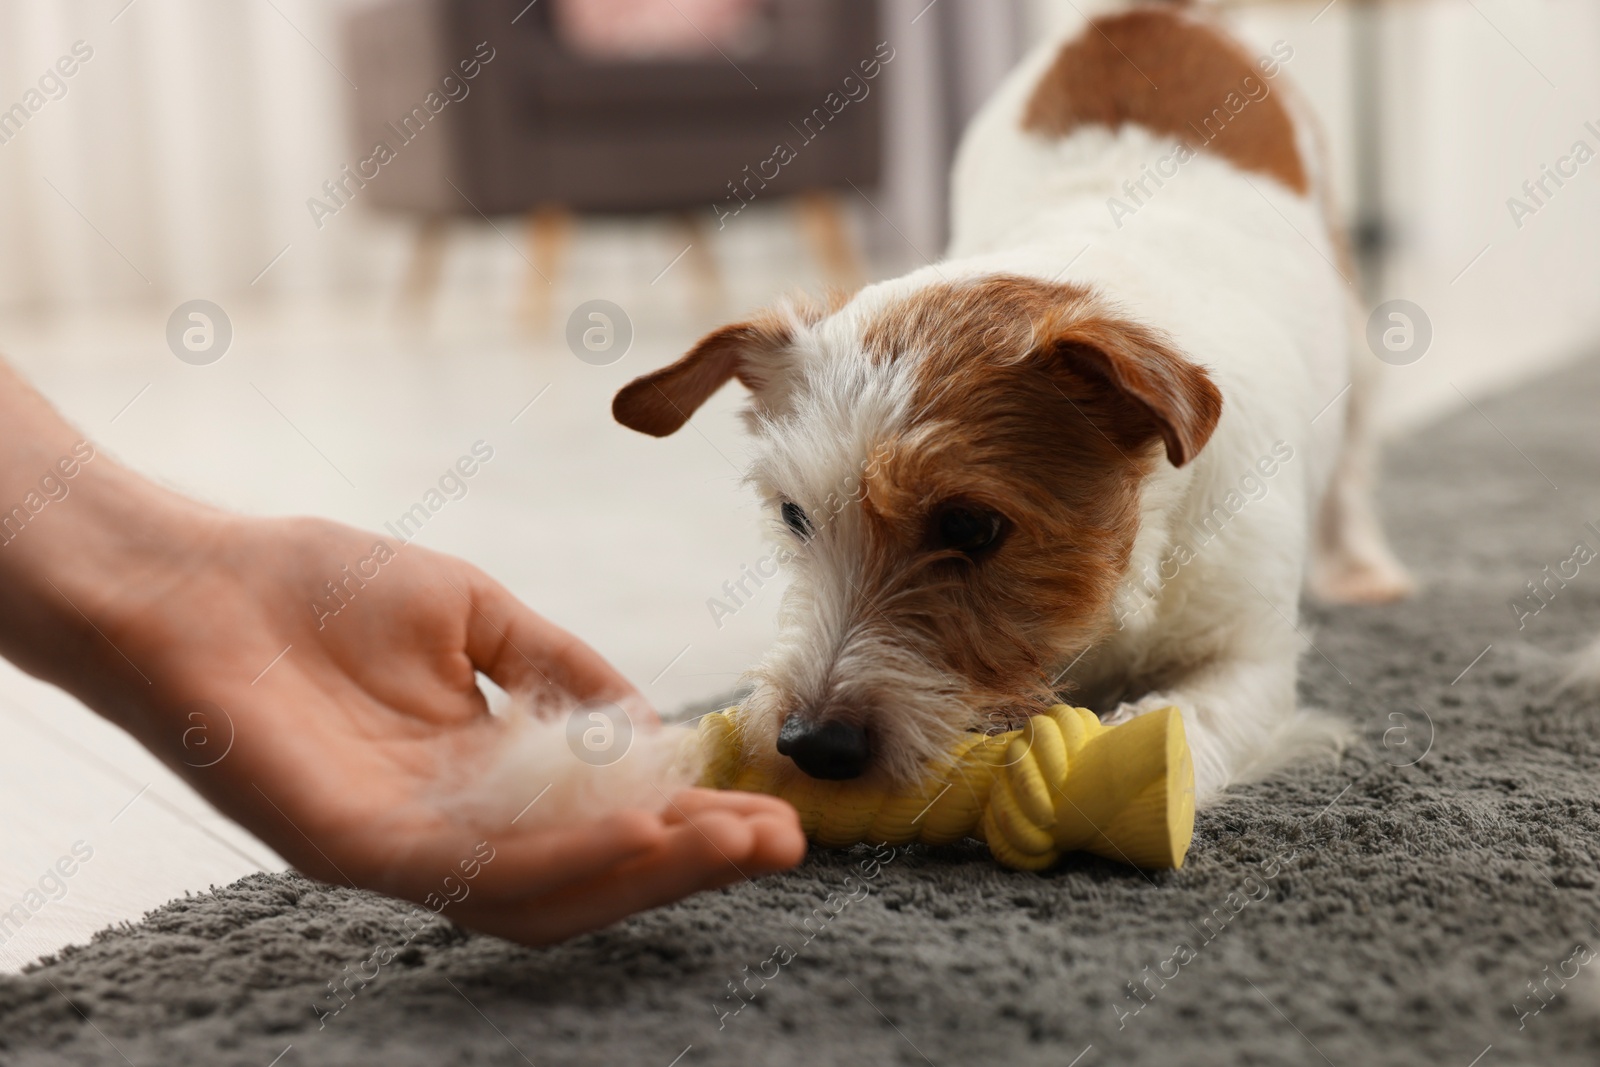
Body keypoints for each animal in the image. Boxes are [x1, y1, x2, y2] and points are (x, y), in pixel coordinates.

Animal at [604, 0, 1408, 799]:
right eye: (794, 516)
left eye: (970, 525)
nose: (812, 745)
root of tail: (1147, 13)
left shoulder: (1249, 657)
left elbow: (1181, 725)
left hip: (1355, 332)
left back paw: (1365, 568)